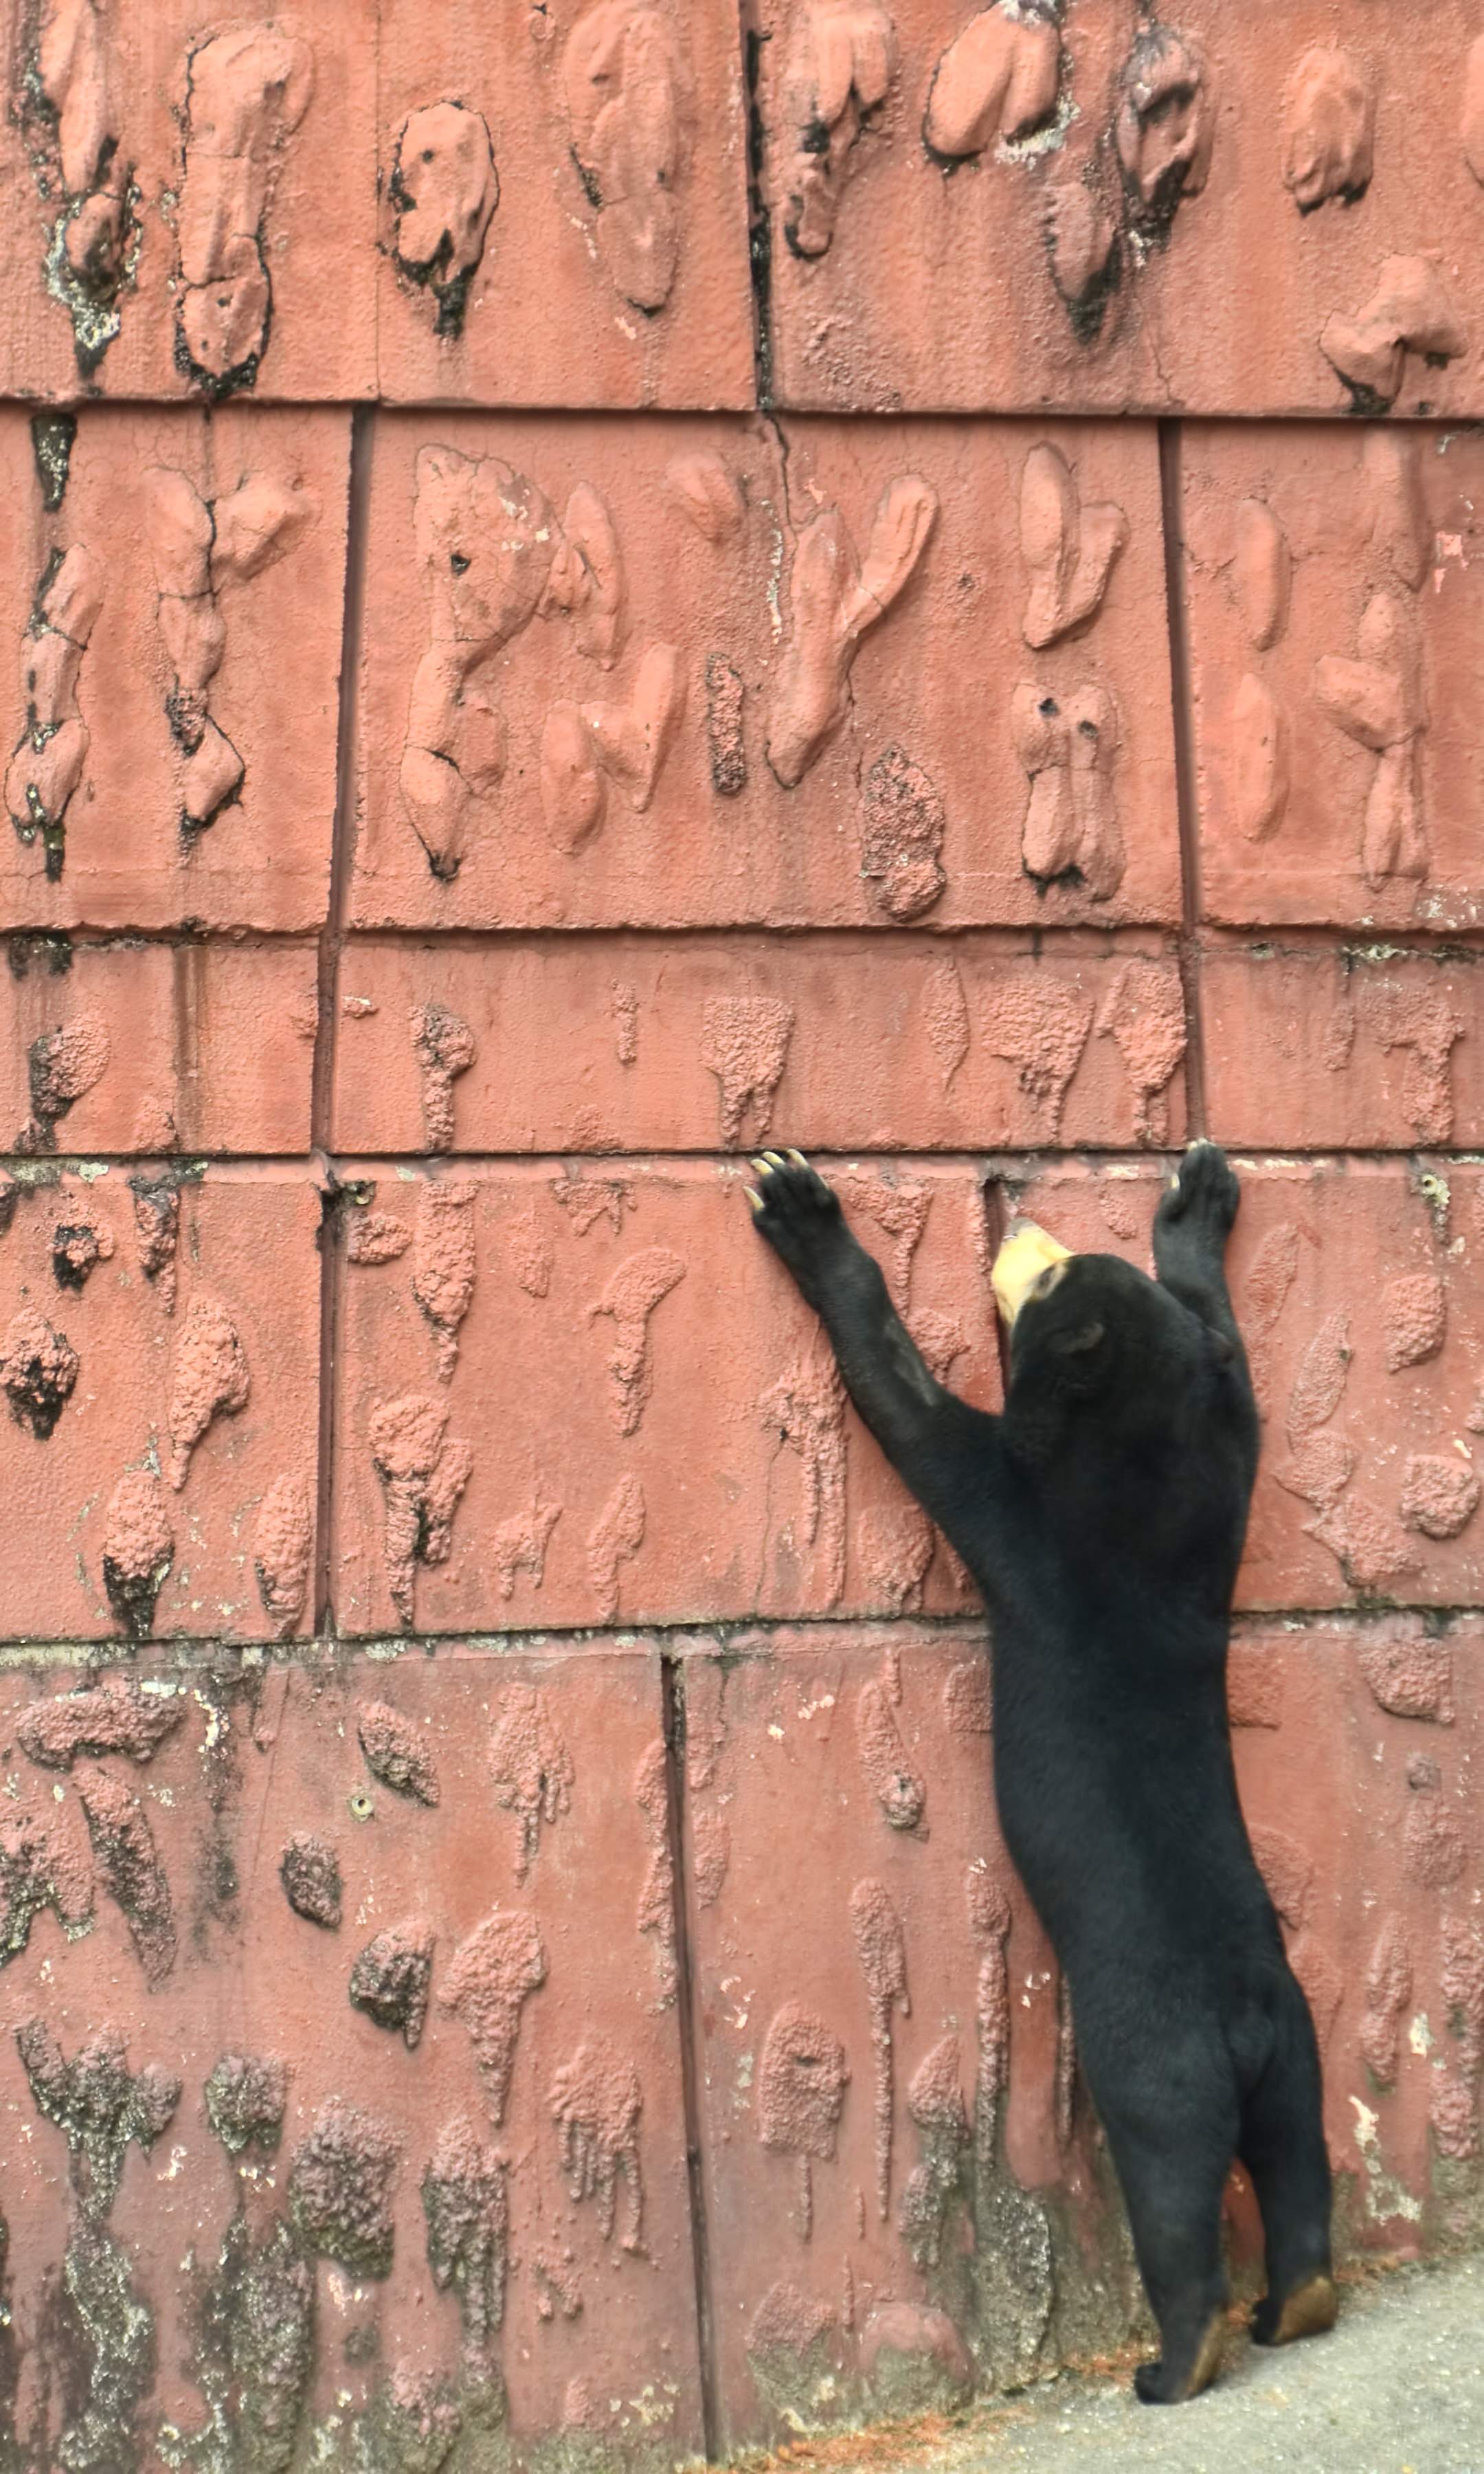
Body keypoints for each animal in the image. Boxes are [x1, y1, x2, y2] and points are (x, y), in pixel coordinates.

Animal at [747, 1133, 1336, 2394]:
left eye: (1050, 1280)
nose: (1014, 1210)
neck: (1143, 1443)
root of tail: (1241, 2024)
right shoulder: (1225, 1440)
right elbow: (1225, 1343)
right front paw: (1197, 1201)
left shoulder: (1013, 1489)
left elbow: (905, 1399)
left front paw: (803, 1209)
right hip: (1299, 2060)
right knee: (1301, 2172)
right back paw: (1299, 2302)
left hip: (1157, 2077)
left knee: (1176, 2202)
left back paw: (1174, 2363)